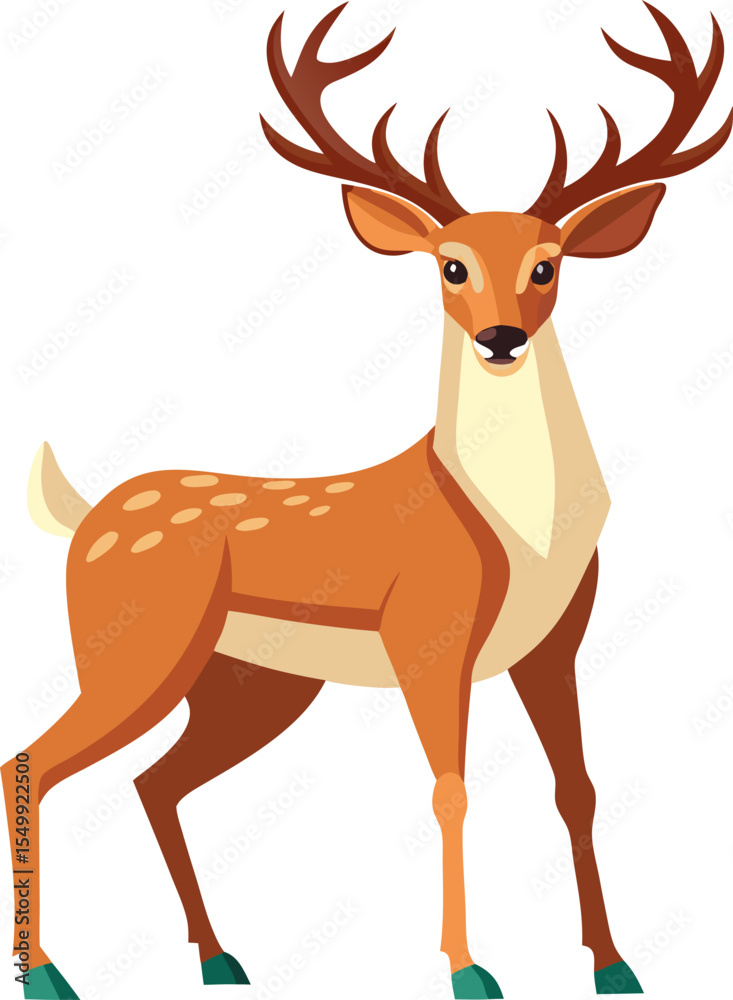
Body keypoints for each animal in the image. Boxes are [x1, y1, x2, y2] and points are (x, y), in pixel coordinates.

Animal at [3, 3, 731, 998]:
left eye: (547, 265)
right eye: (450, 266)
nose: (501, 338)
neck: (522, 534)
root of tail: (88, 517)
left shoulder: (557, 644)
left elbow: (575, 788)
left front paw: (616, 966)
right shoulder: (427, 633)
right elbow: (450, 789)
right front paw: (469, 970)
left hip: (252, 684)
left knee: (152, 780)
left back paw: (221, 959)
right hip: (132, 649)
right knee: (31, 760)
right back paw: (50, 973)